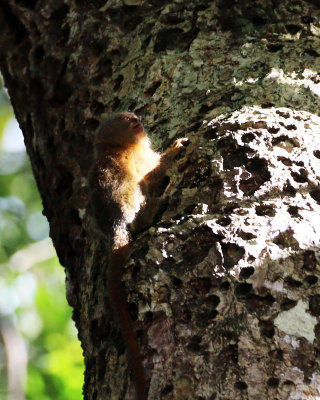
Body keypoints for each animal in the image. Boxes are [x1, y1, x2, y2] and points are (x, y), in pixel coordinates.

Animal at [89, 112, 186, 400]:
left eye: (132, 116)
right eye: (124, 118)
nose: (136, 118)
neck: (118, 146)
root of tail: (115, 226)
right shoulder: (139, 160)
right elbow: (153, 173)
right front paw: (176, 149)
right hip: (127, 199)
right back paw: (152, 209)